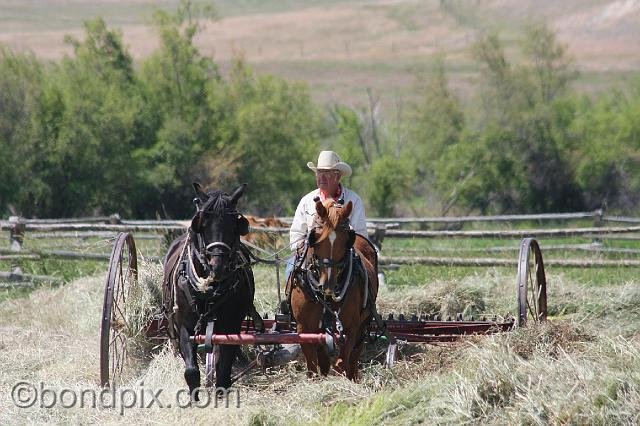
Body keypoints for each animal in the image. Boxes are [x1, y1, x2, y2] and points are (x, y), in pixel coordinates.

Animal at [162, 184, 260, 400]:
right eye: (203, 224)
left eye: (234, 224)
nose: (218, 266)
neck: (210, 291)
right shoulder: (185, 326)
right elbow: (191, 370)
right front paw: (194, 398)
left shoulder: (231, 326)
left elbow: (224, 367)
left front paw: (221, 393)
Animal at [288, 196, 378, 380]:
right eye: (315, 238)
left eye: (346, 241)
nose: (328, 285)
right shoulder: (304, 328)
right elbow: (312, 365)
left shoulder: (350, 328)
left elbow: (341, 363)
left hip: (364, 323)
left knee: (354, 355)